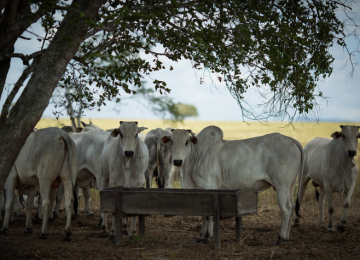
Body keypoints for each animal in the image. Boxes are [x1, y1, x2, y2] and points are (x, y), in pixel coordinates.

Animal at [163, 127, 304, 245]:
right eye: (172, 141)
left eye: (187, 141)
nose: (177, 161)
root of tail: (289, 139)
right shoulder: (199, 192)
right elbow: (203, 214)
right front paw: (201, 237)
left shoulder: (210, 186)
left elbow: (209, 215)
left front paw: (207, 237)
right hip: (290, 186)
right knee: (291, 207)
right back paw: (286, 237)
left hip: (281, 185)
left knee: (285, 209)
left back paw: (281, 239)